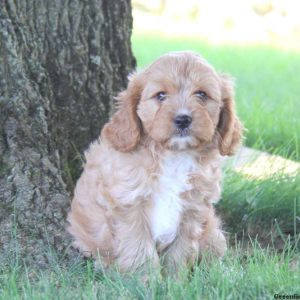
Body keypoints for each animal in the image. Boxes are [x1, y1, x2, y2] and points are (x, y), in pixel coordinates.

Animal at [67, 51, 243, 272]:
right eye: (160, 95)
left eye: (202, 94)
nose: (183, 119)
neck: (174, 155)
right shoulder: (128, 205)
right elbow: (140, 251)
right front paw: (147, 279)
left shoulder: (193, 210)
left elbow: (180, 252)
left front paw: (174, 280)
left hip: (212, 231)